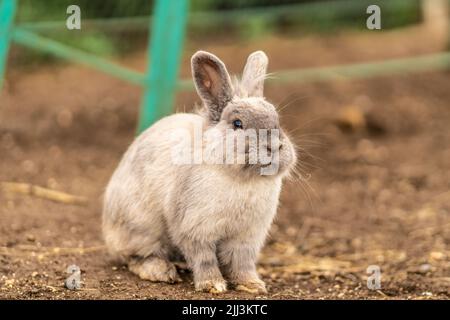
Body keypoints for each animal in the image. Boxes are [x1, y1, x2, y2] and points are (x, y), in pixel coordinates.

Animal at [103, 49, 298, 292]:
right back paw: (161, 271)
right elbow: (204, 259)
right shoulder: (194, 228)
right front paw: (213, 285)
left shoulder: (247, 237)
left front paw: (252, 285)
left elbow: (241, 262)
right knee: (136, 257)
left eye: (277, 121)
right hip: (140, 229)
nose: (274, 146)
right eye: (237, 123)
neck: (242, 178)